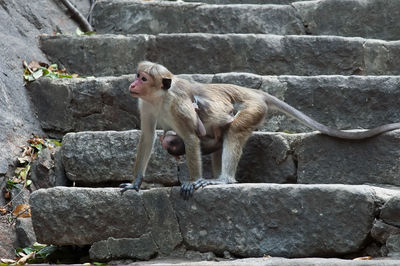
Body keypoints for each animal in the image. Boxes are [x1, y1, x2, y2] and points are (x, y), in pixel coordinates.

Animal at [120, 61, 400, 198]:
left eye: (143, 78)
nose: (132, 84)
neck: (159, 97)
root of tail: (256, 93)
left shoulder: (178, 105)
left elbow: (191, 137)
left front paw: (193, 181)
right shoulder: (145, 104)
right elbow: (147, 137)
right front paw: (135, 184)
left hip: (252, 108)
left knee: (233, 129)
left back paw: (224, 180)